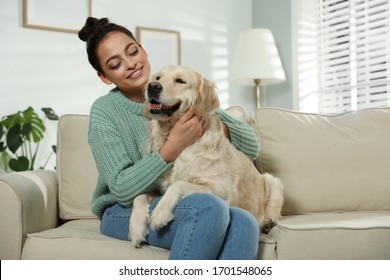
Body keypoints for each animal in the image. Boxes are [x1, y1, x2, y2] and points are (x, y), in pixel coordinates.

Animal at [129, 64, 284, 246]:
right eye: (158, 78)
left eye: (180, 80)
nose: (152, 86)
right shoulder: (158, 187)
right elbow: (139, 196)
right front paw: (136, 228)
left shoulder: (223, 190)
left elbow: (178, 184)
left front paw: (160, 213)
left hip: (274, 181)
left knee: (274, 212)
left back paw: (268, 223)